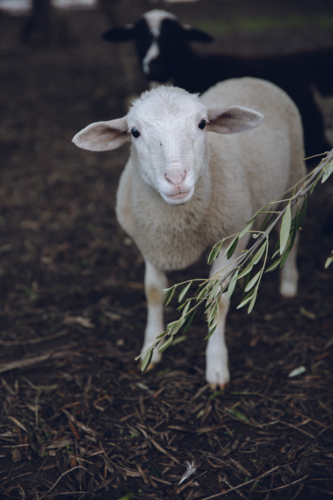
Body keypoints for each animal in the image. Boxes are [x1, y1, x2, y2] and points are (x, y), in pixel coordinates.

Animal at [71, 77, 304, 390]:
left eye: (202, 124)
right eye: (134, 132)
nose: (176, 179)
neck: (176, 224)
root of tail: (250, 78)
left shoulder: (230, 236)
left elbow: (218, 299)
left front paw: (216, 366)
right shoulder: (151, 241)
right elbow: (153, 292)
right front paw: (151, 350)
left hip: (296, 178)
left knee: (290, 232)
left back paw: (289, 284)